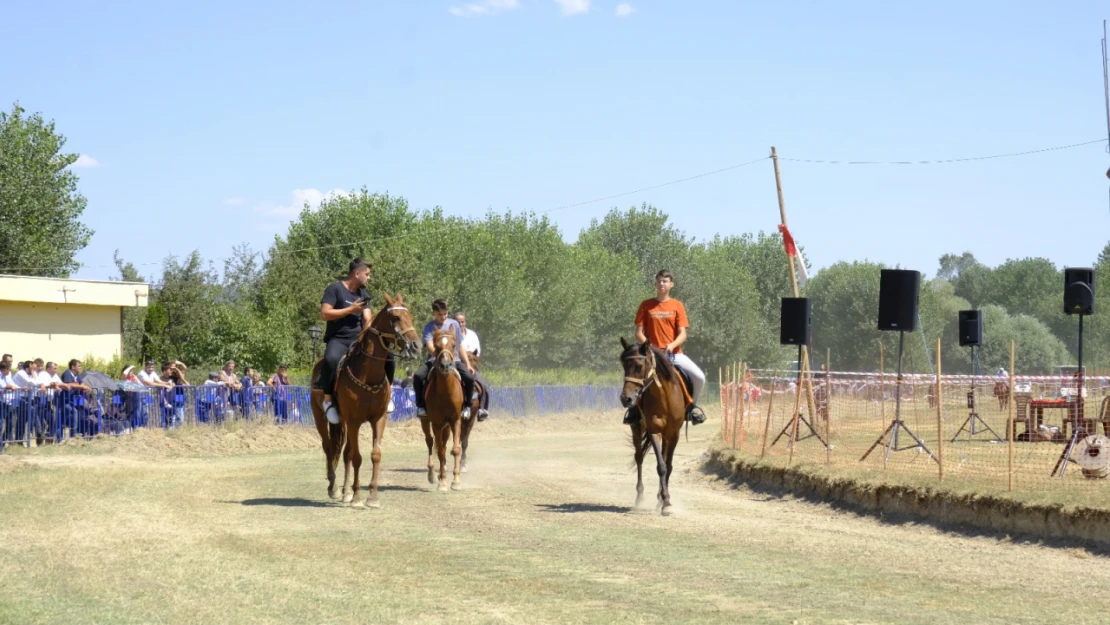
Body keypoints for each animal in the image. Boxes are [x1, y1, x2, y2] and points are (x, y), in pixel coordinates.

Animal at [313, 295, 419, 508]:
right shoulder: (354, 421)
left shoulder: (378, 419)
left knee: (345, 452)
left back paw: (345, 491)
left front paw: (372, 496)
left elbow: (374, 455)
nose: (415, 345)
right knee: (328, 448)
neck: (368, 375)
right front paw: (356, 497)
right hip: (321, 419)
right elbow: (357, 458)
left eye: (410, 315)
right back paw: (334, 488)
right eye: (395, 317)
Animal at [417, 330, 466, 490]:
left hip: (447, 427)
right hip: (426, 422)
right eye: (437, 346)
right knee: (431, 442)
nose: (445, 365)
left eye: (454, 345)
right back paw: (432, 474)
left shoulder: (455, 421)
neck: (445, 392)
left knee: (442, 443)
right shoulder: (436, 423)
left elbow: (455, 449)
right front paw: (443, 482)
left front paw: (456, 481)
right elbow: (440, 451)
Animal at [617, 337, 683, 519]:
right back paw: (640, 497)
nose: (626, 399)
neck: (665, 397)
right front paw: (666, 502)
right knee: (639, 457)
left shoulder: (674, 434)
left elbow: (668, 466)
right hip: (637, 428)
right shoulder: (655, 431)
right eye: (623, 366)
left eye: (639, 366)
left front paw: (663, 500)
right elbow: (661, 466)